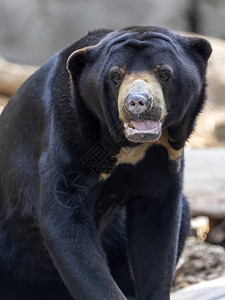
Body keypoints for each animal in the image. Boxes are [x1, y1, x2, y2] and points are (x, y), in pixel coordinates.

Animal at [0, 26, 211, 300]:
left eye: (164, 73)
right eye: (115, 76)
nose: (138, 103)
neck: (129, 147)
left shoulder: (165, 157)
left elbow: (157, 228)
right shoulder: (68, 141)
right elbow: (65, 223)